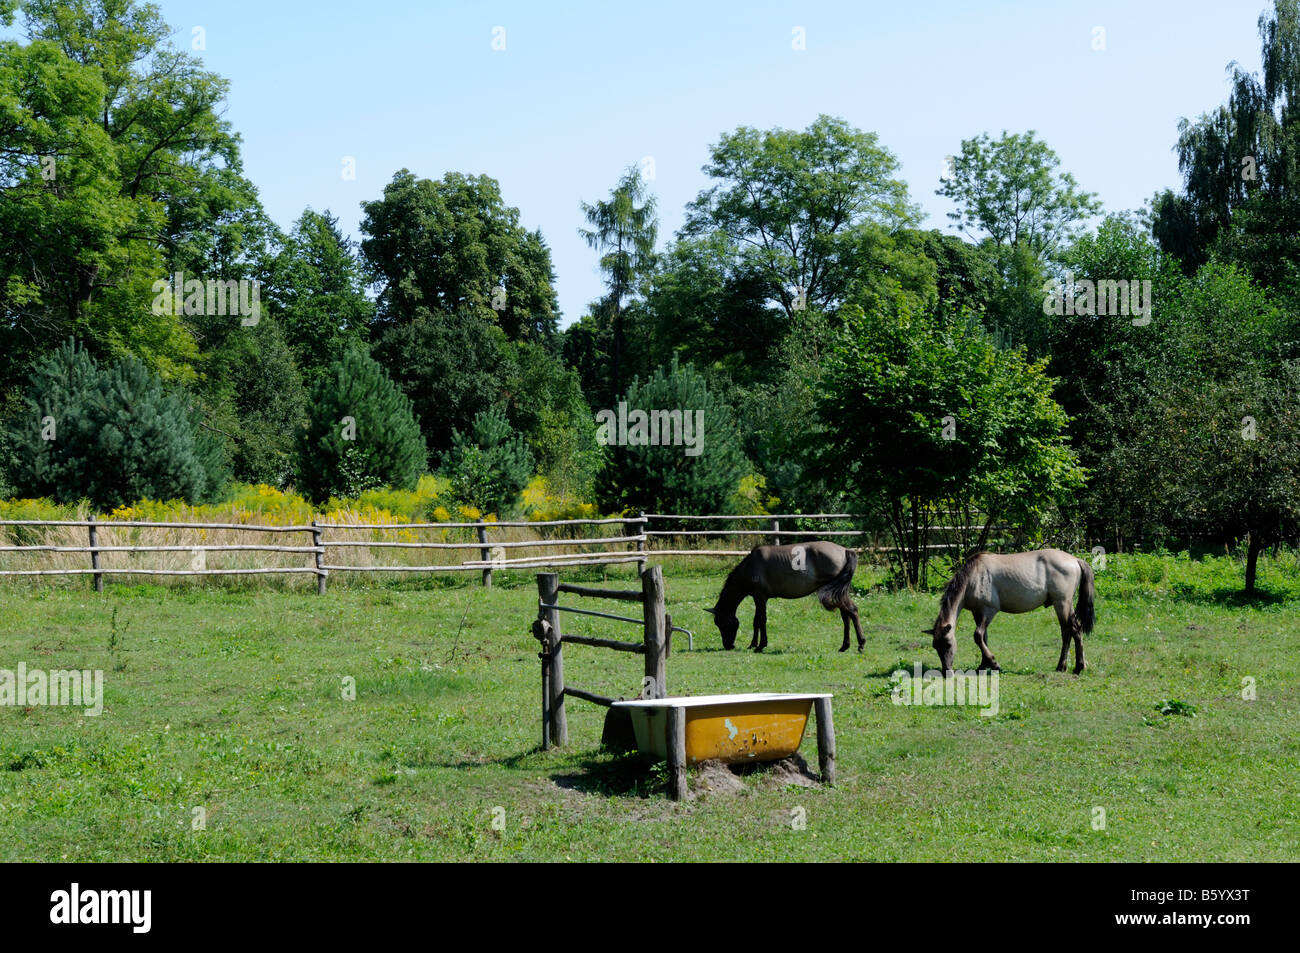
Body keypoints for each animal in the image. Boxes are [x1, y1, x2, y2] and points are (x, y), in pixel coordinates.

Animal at [704, 541, 863, 652]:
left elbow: (760, 620)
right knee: (846, 616)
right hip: (838, 593)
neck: (750, 567)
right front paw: (753, 644)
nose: (728, 646)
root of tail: (845, 551)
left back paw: (861, 644)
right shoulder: (759, 598)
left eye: (721, 623)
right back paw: (845, 646)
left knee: (852, 611)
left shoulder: (760, 597)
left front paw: (760, 645)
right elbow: (757, 621)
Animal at [924, 549, 1095, 675]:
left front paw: (994, 664)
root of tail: (1075, 560)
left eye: (948, 644)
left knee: (1073, 630)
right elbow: (984, 638)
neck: (974, 576)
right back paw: (1063, 666)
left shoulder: (989, 611)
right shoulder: (977, 612)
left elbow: (978, 636)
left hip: (1062, 603)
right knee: (1068, 631)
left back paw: (1077, 667)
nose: (946, 671)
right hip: (1064, 605)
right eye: (935, 646)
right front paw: (983, 666)